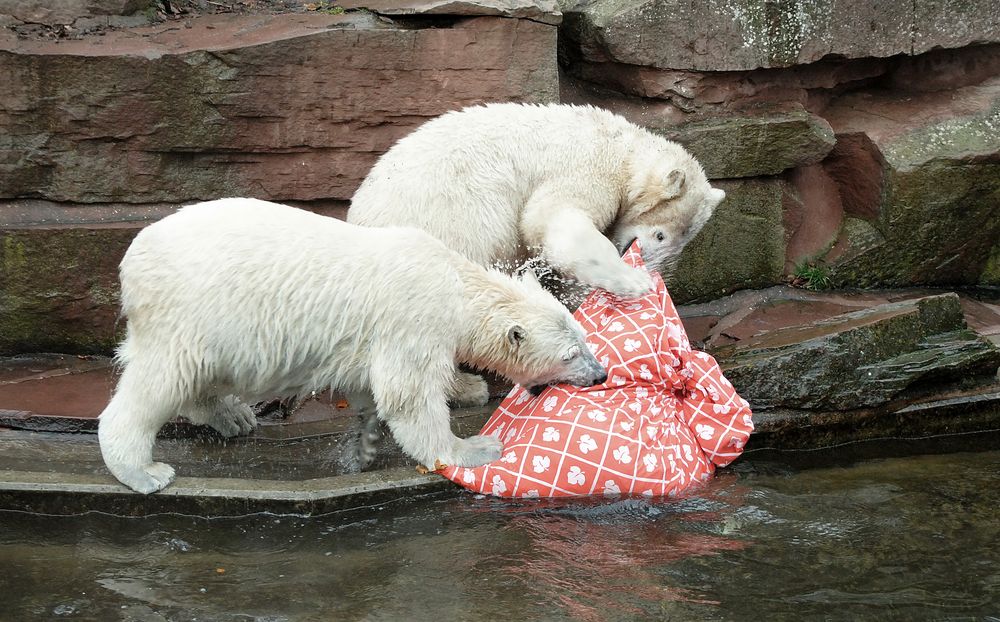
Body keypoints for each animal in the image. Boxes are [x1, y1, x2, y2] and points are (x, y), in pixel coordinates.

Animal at [99, 197, 608, 494]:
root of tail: (133, 258)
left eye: (584, 340)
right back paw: (144, 471)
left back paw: (233, 416)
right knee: (161, 381)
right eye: (570, 355)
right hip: (190, 310)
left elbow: (369, 388)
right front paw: (475, 447)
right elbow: (409, 395)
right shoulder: (415, 316)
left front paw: (362, 447)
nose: (600, 373)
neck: (454, 281)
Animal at [348, 102, 724, 300]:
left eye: (682, 242)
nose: (655, 269)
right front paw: (632, 281)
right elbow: (552, 221)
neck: (621, 148)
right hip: (448, 223)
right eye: (660, 234)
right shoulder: (585, 168)